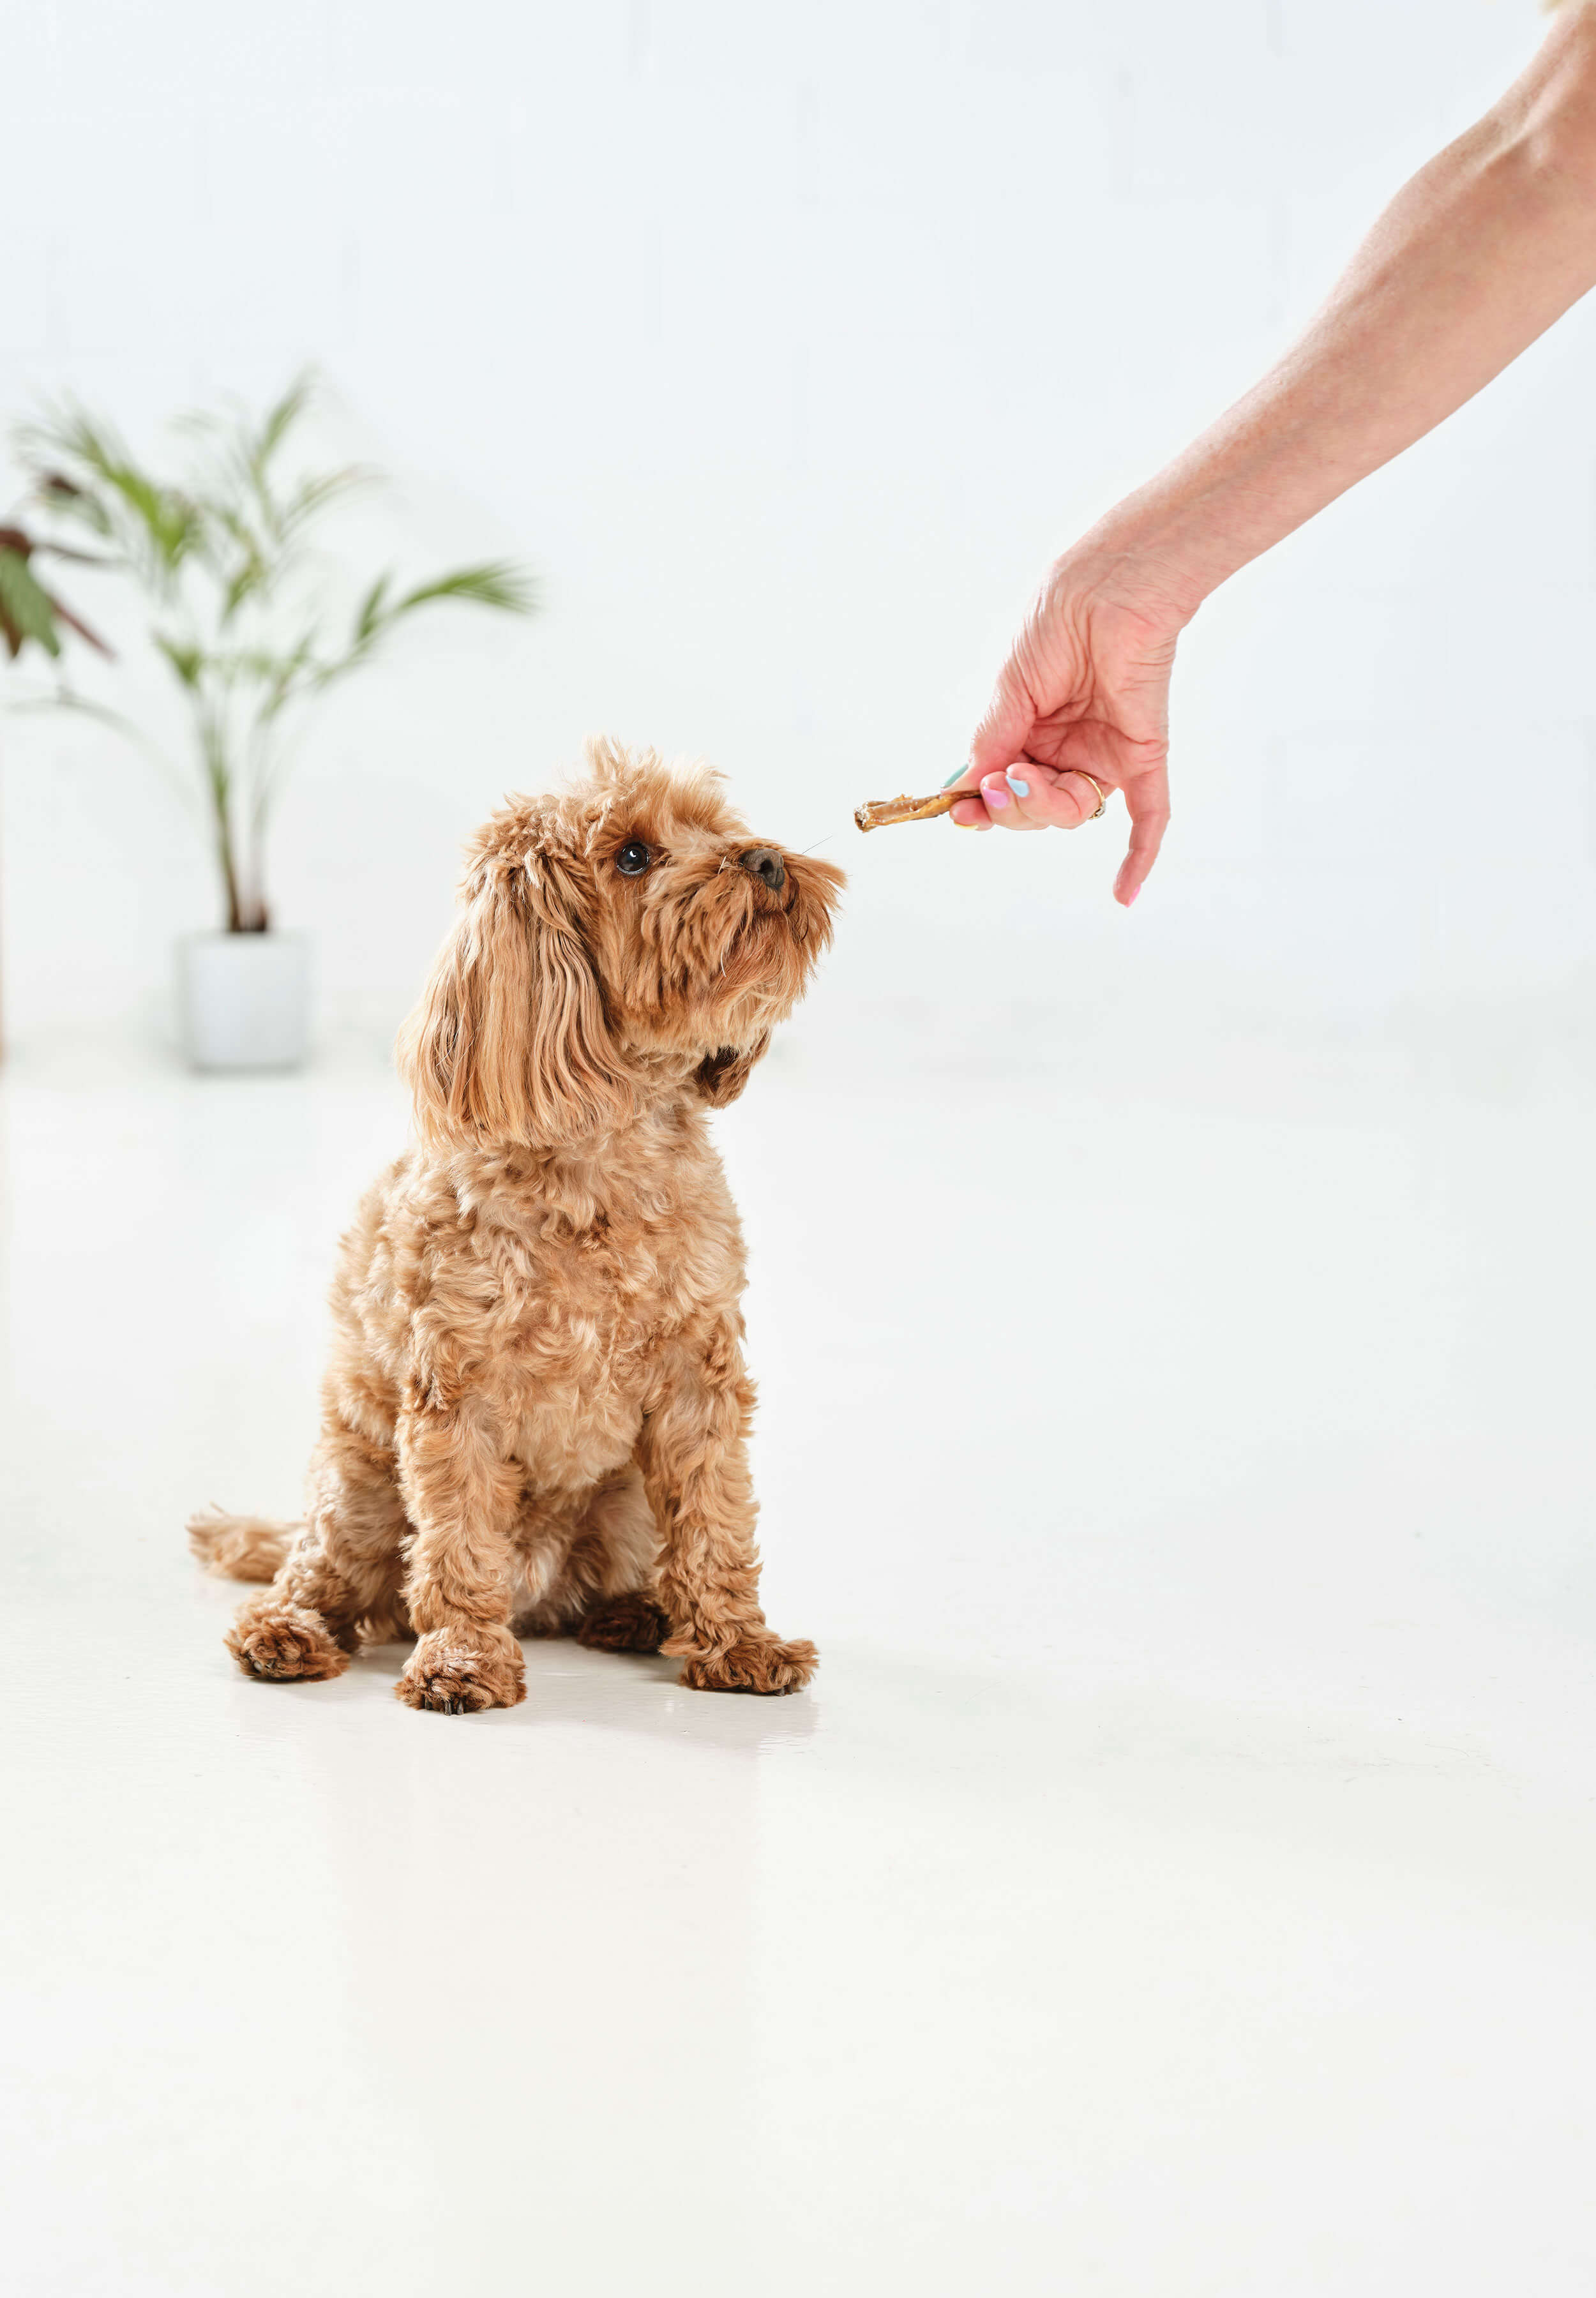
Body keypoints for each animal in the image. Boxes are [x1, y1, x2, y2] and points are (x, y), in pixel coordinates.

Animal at [190, 744, 850, 1718]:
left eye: (717, 828)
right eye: (631, 857)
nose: (765, 860)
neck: (601, 1163)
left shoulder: (698, 1380)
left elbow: (715, 1519)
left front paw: (738, 1642)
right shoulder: (455, 1391)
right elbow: (459, 1538)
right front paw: (463, 1658)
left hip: (623, 1501)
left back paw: (635, 1613)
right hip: (355, 1482)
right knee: (325, 1572)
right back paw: (288, 1633)